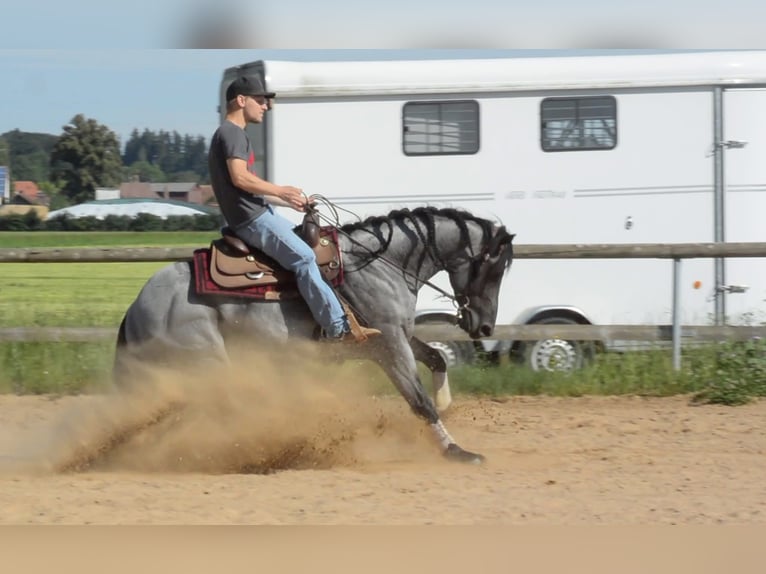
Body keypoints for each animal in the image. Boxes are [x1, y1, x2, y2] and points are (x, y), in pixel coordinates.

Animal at [113, 206, 515, 464]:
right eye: (493, 269)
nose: (484, 327)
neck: (382, 265)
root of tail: (137, 306)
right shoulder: (389, 345)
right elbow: (418, 402)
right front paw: (456, 451)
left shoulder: (395, 337)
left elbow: (436, 357)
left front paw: (446, 402)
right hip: (205, 363)